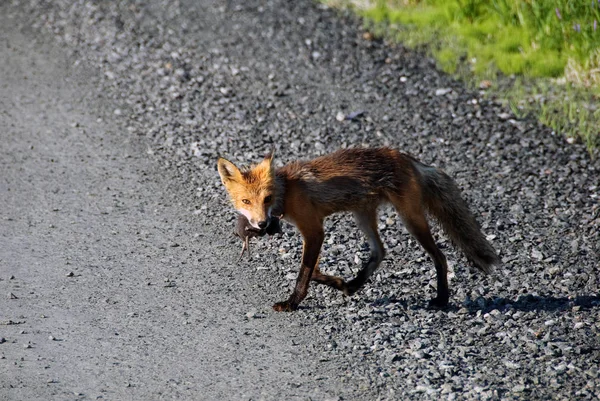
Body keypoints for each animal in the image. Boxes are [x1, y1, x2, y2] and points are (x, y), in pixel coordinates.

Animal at [218, 148, 500, 310]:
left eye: (266, 199)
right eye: (246, 201)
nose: (261, 224)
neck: (287, 191)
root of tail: (407, 159)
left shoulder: (314, 230)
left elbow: (304, 273)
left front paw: (292, 303)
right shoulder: (315, 233)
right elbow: (314, 270)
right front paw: (338, 282)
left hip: (411, 219)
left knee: (440, 257)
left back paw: (442, 300)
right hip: (363, 215)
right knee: (380, 252)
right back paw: (354, 284)